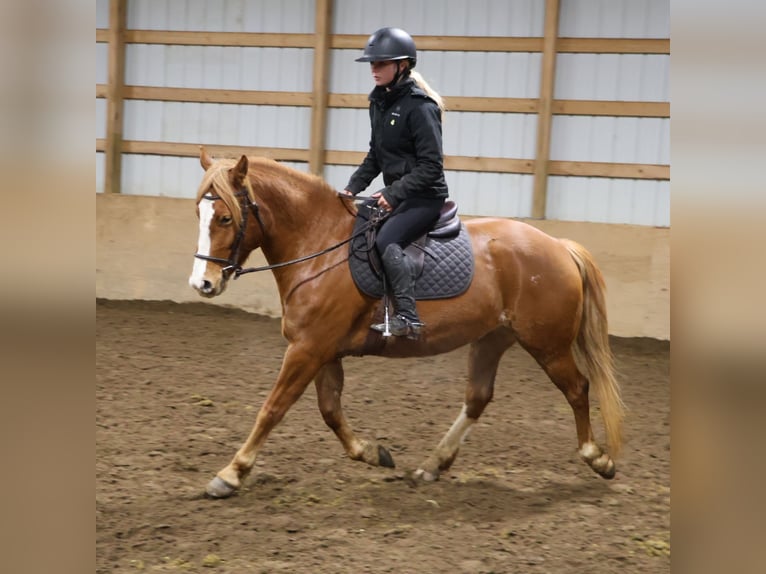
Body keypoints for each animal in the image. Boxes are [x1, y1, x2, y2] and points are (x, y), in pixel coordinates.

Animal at [188, 148, 624, 499]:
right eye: (198, 213)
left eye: (225, 217)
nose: (202, 284)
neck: (320, 245)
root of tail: (559, 247)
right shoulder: (321, 351)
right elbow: (330, 411)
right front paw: (373, 453)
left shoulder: (308, 349)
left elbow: (273, 408)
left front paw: (230, 474)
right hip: (492, 338)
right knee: (478, 398)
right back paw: (433, 465)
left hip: (547, 344)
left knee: (577, 388)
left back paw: (597, 458)